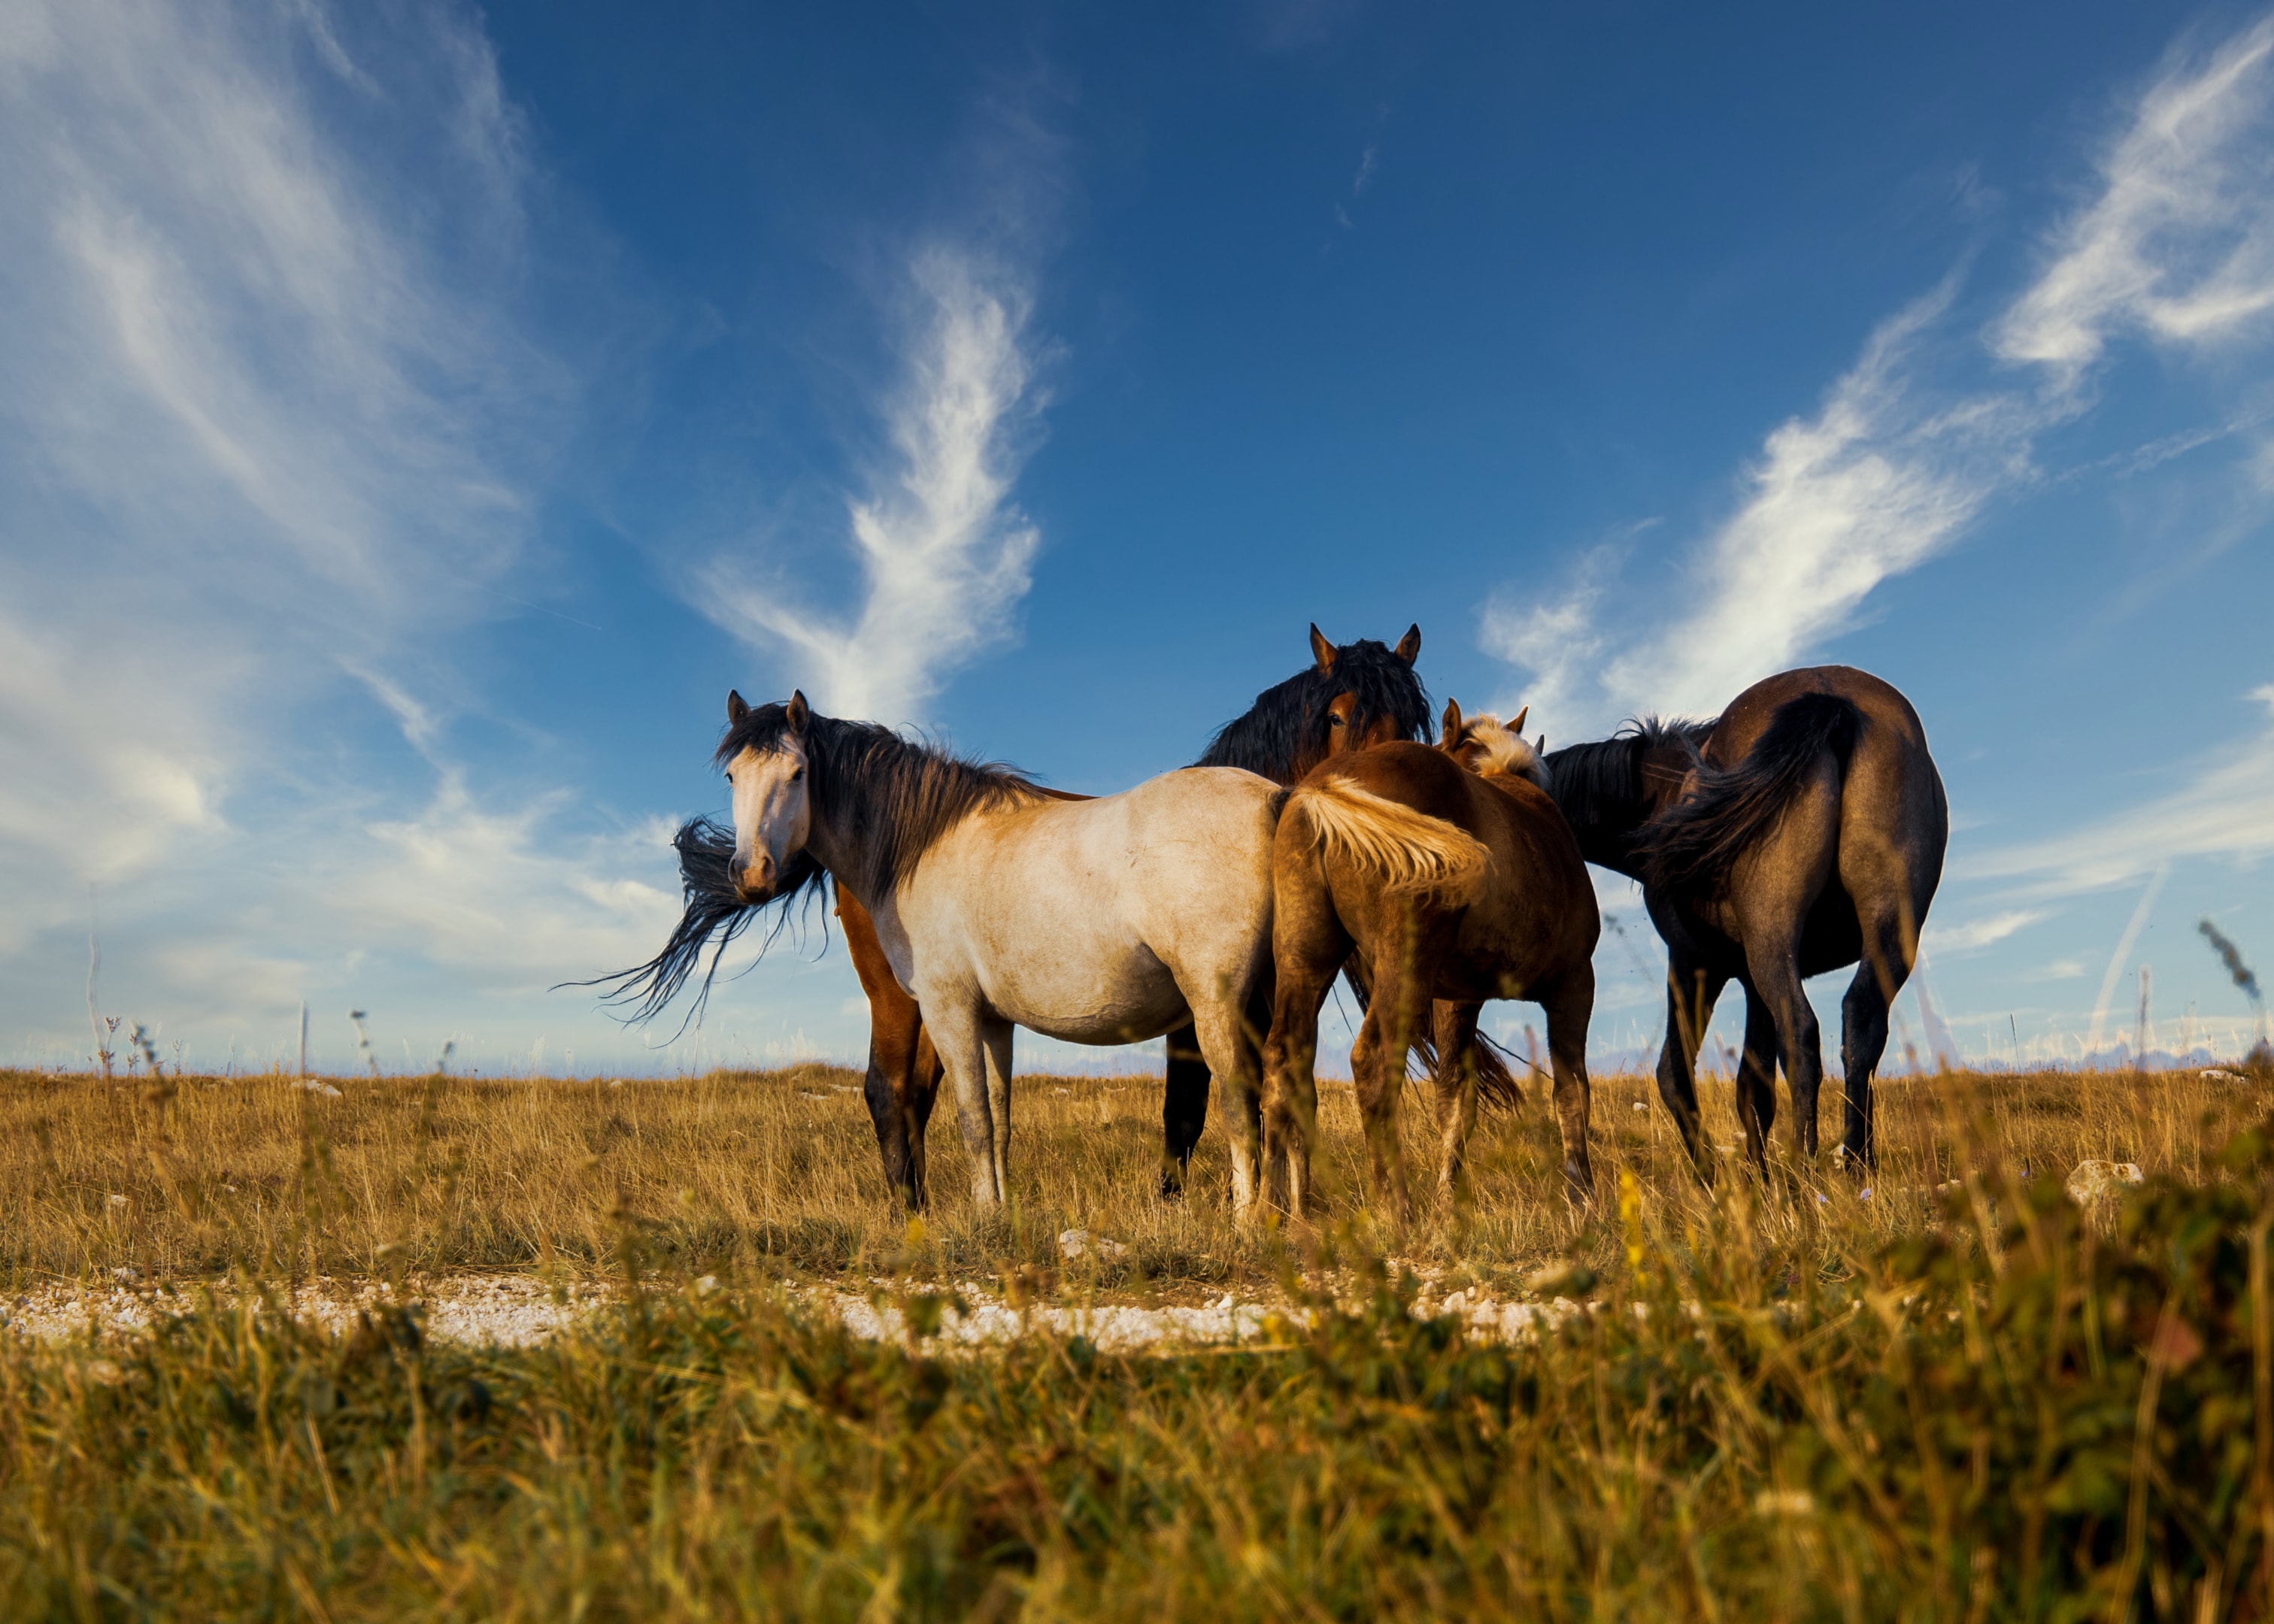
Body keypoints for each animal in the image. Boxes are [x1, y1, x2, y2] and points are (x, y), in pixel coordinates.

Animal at [713, 690, 1285, 1213]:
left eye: (797, 774)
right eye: (732, 777)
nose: (751, 874)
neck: (921, 850)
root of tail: (1273, 798)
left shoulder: (949, 1010)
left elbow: (973, 1118)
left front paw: (984, 1214)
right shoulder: (993, 1021)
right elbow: (999, 1120)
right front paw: (1003, 1212)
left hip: (1215, 1006)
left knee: (1240, 1105)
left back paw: (1247, 1221)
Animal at [1261, 699, 1599, 1224]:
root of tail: (1324, 786)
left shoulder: (1457, 999)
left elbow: (1456, 1099)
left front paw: (1448, 1200)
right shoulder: (1575, 984)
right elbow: (1571, 1092)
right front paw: (1582, 1197)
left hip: (1304, 959)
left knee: (1283, 1060)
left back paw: (1277, 1211)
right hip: (1403, 963)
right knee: (1374, 1063)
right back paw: (1394, 1207)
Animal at [1540, 665, 1947, 1173]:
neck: (1664, 794)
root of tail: (1832, 700)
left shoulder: (1697, 962)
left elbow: (1678, 1075)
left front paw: (1717, 1176)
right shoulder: (1749, 982)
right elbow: (1754, 1087)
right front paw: (1755, 1175)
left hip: (1771, 941)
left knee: (1801, 1036)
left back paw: (1802, 1172)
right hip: (1888, 932)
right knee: (1862, 1024)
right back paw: (1857, 1164)